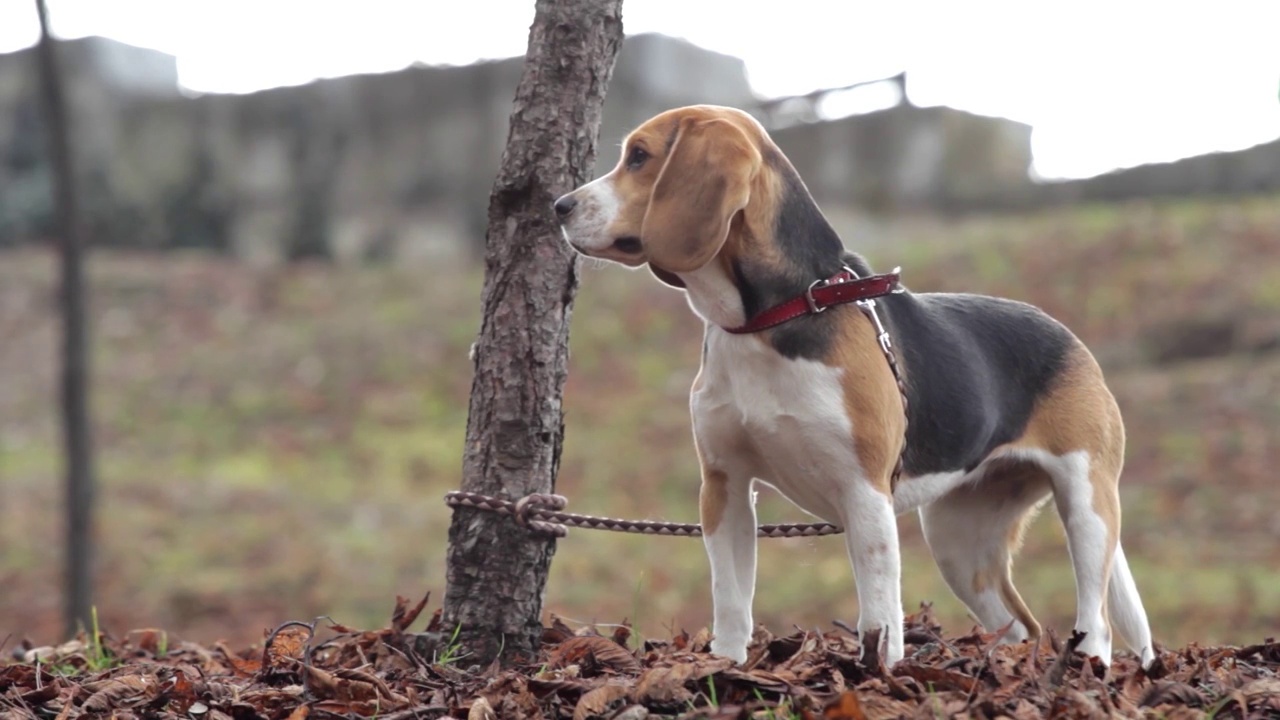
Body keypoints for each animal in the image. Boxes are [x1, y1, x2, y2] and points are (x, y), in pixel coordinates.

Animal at [555, 103, 1157, 666]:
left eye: (639, 157)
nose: (559, 206)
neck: (772, 318)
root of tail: (1070, 336)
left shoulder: (864, 492)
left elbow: (879, 614)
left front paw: (878, 674)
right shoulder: (725, 485)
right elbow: (730, 599)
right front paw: (723, 668)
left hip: (1085, 504)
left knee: (1097, 620)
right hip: (958, 539)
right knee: (1019, 628)